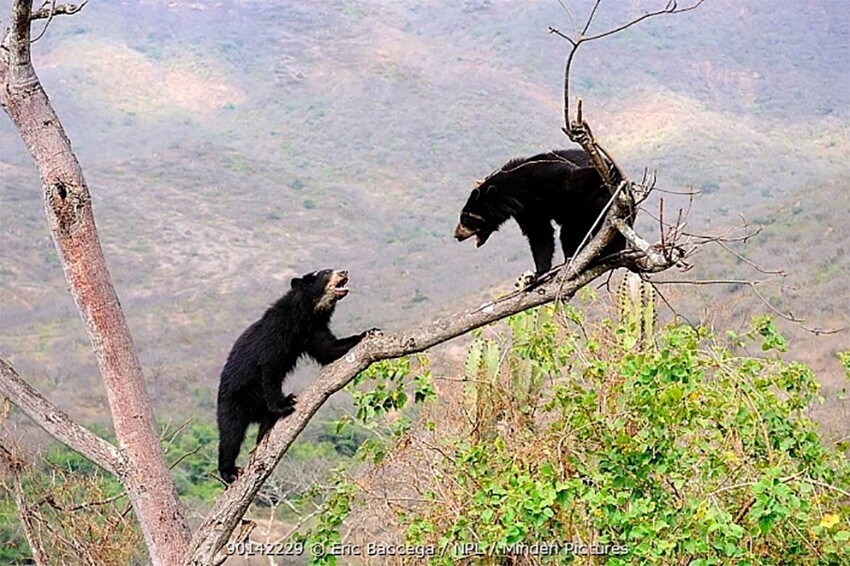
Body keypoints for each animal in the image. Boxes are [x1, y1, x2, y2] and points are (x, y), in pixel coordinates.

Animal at [215, 270, 378, 484]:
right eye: (326, 272)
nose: (344, 271)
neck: (305, 316)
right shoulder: (277, 332)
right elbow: (270, 366)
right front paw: (284, 403)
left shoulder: (312, 331)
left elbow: (329, 350)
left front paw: (369, 332)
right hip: (234, 401)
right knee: (230, 435)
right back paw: (229, 471)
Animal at [454, 148, 628, 278]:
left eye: (465, 217)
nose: (457, 235)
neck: (518, 193)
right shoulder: (527, 210)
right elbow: (539, 233)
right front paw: (539, 272)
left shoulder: (547, 177)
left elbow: (572, 178)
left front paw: (606, 171)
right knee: (568, 233)